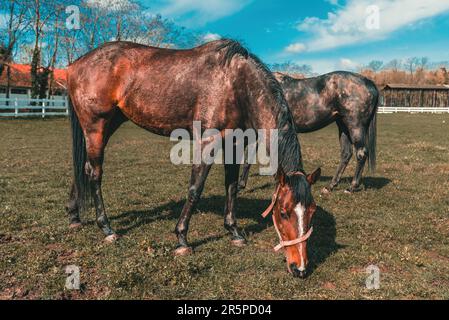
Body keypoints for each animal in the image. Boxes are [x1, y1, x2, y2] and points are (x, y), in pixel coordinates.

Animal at [65, 39, 320, 278]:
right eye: (283, 212)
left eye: (312, 211)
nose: (300, 268)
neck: (235, 82)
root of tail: (75, 65)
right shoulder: (208, 142)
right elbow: (195, 189)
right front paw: (182, 238)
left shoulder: (234, 144)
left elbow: (231, 187)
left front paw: (234, 231)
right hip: (95, 126)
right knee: (94, 173)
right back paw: (106, 228)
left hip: (110, 124)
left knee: (83, 168)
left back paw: (74, 215)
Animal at [238, 71, 378, 194]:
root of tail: (368, 82)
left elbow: (248, 158)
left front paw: (241, 185)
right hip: (343, 126)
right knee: (346, 154)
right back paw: (330, 186)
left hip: (355, 126)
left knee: (361, 153)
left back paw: (351, 187)